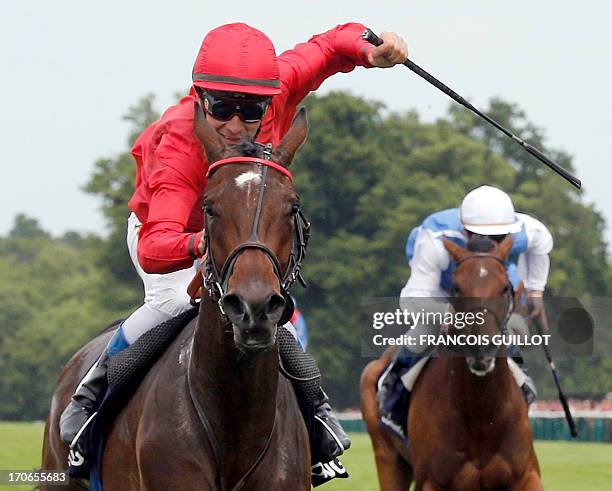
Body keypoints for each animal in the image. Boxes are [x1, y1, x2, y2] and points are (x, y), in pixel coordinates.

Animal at [360, 236, 544, 490]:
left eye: (505, 287)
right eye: (457, 287)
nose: (481, 348)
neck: (482, 415)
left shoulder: (526, 476)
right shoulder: (431, 481)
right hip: (387, 457)